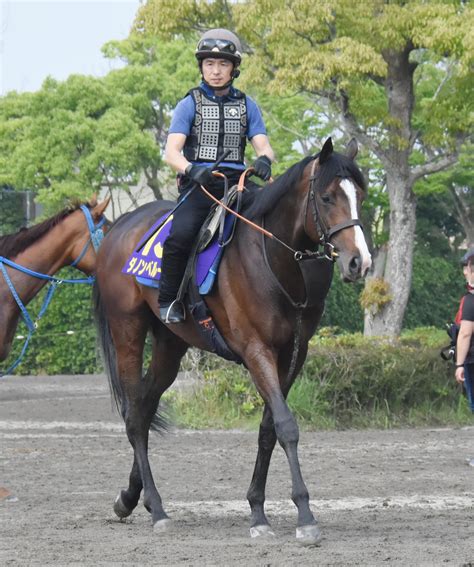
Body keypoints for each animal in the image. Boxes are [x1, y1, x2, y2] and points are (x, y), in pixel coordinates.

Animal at [94, 138, 372, 544]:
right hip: (127, 331)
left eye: (360, 197)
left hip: (170, 344)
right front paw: (304, 515)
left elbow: (268, 429)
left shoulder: (293, 355)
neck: (272, 259)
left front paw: (257, 509)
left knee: (144, 409)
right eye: (326, 197)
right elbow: (286, 426)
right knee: (133, 417)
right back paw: (157, 508)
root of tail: (119, 228)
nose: (359, 262)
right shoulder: (257, 350)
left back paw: (131, 497)